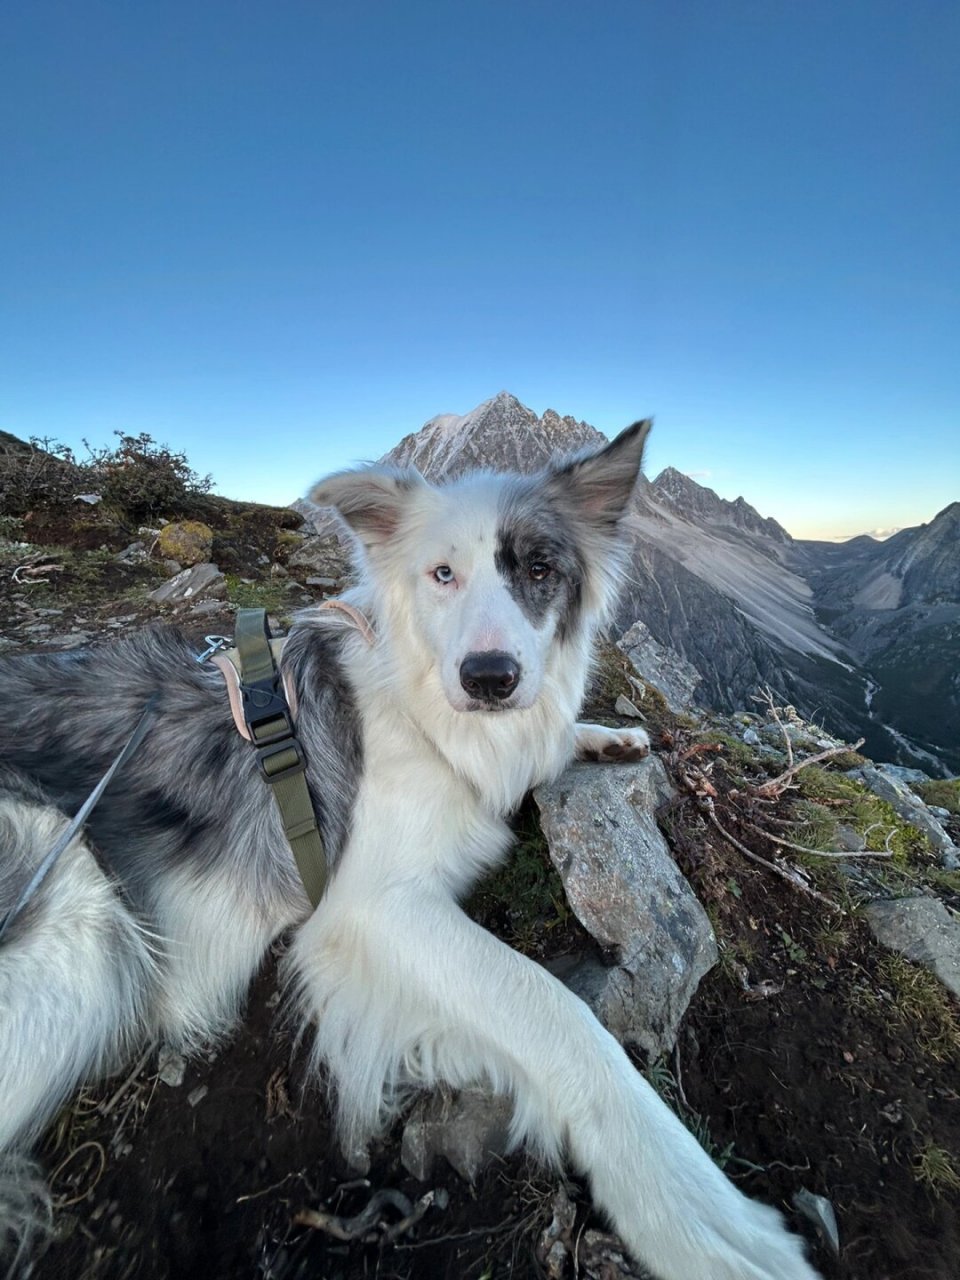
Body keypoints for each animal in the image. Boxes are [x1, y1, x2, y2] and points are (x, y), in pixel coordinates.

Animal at [1, 424, 819, 1274]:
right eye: (443, 574)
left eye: (537, 568)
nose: (489, 678)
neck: (423, 705)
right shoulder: (368, 907)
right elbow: (553, 1009)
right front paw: (688, 1206)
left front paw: (602, 736)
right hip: (71, 915)